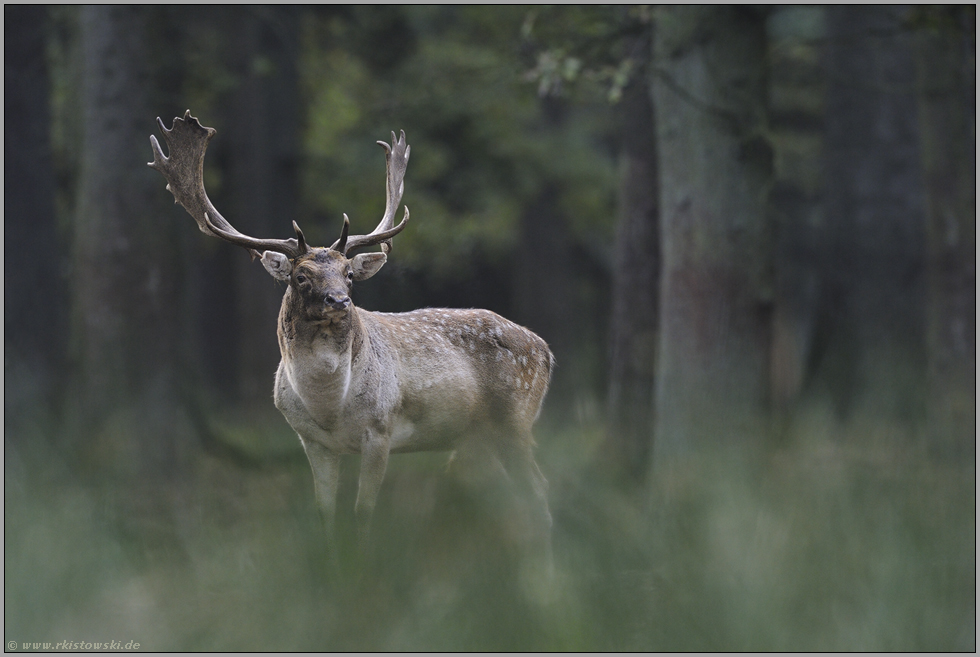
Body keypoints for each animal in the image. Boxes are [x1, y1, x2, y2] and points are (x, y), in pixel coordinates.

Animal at [149, 110, 556, 560]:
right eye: (301, 276)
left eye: (347, 272)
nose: (340, 301)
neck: (330, 406)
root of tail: (545, 349)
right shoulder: (312, 442)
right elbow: (325, 515)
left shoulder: (380, 429)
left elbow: (363, 514)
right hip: (479, 436)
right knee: (508, 502)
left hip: (515, 420)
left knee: (539, 494)